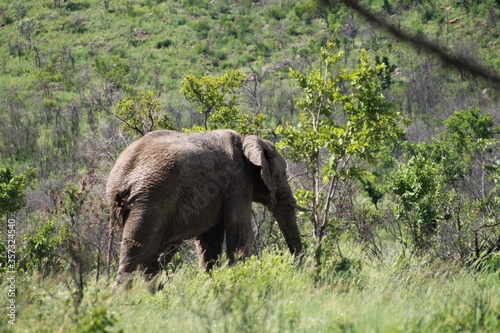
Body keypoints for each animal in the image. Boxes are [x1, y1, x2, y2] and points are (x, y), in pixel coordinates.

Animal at [107, 128, 302, 284]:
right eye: (283, 174)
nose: (298, 267)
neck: (247, 141)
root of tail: (122, 177)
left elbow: (210, 243)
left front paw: (208, 283)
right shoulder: (238, 181)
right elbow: (239, 234)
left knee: (149, 257)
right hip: (151, 201)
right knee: (136, 254)